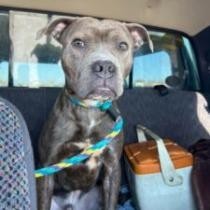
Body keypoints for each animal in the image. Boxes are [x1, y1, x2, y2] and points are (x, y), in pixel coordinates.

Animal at [36, 16, 153, 210]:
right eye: (78, 43)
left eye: (122, 45)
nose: (105, 66)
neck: (90, 109)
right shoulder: (48, 166)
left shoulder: (112, 168)